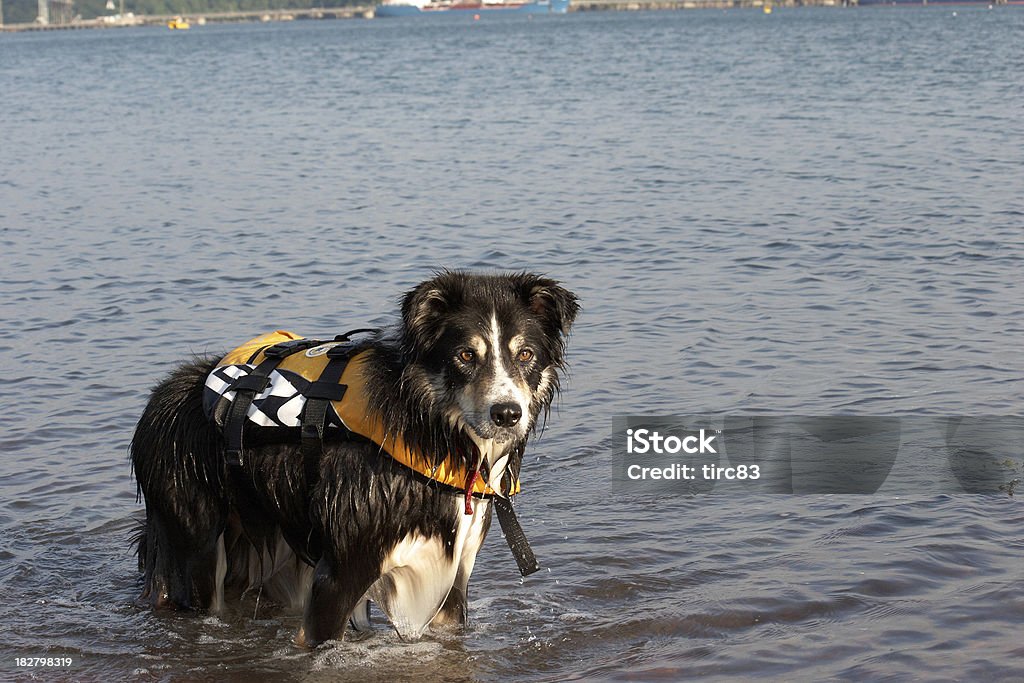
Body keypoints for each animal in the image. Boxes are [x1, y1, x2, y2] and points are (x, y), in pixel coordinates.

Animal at [130, 270, 577, 647]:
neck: (428, 431)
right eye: (466, 355)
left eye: (525, 355)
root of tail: (161, 396)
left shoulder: (453, 581)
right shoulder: (338, 575)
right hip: (198, 553)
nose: (507, 414)